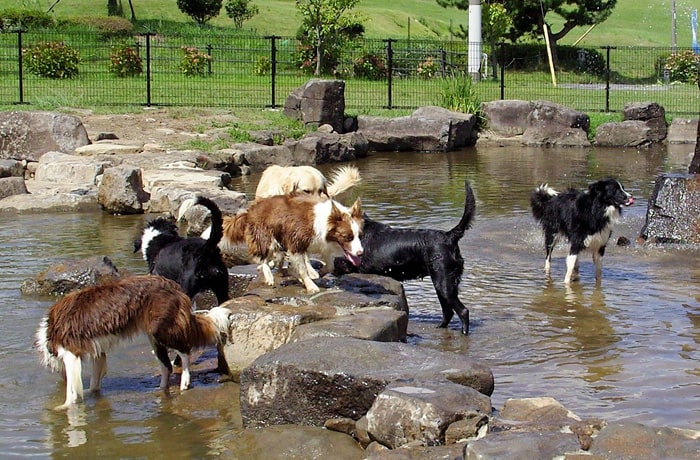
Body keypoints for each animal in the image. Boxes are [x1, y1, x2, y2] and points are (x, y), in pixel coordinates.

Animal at [34, 274, 231, 412]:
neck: (49, 335)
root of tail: (174, 286)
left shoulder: (71, 354)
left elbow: (73, 392)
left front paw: (63, 407)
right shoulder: (98, 352)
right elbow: (95, 382)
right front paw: (93, 394)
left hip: (162, 331)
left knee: (184, 351)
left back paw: (185, 381)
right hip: (153, 336)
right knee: (166, 365)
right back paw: (160, 389)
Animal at [220, 193, 364, 292]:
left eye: (360, 236)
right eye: (348, 237)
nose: (361, 253)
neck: (324, 222)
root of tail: (249, 210)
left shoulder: (321, 245)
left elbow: (330, 266)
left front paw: (320, 272)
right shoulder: (296, 243)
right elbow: (302, 269)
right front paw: (310, 285)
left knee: (277, 263)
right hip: (267, 239)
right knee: (262, 259)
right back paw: (269, 276)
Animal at [334, 179, 476, 334]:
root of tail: (449, 236)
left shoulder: (356, 266)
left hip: (443, 281)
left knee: (463, 311)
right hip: (443, 283)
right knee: (448, 312)